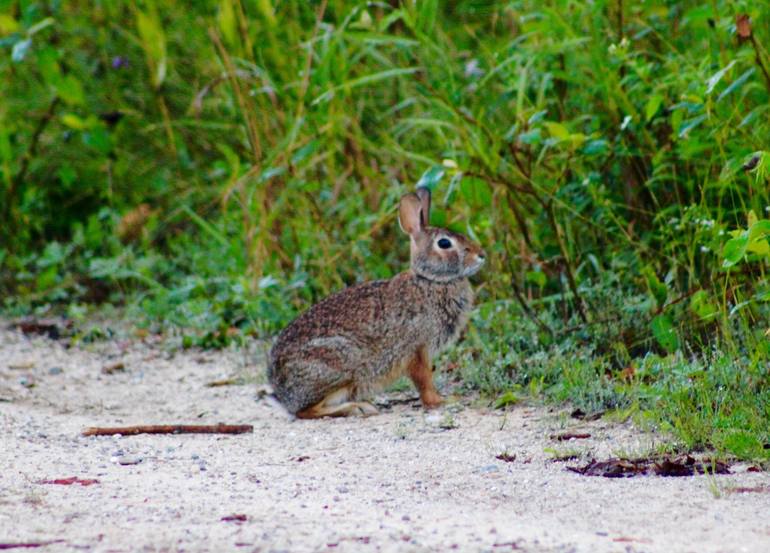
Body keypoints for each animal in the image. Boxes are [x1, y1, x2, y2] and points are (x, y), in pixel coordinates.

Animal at [268, 188, 484, 416]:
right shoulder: (416, 349)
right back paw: (358, 407)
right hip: (341, 364)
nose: (482, 255)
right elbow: (424, 380)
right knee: (307, 411)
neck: (431, 280)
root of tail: (282, 393)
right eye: (444, 243)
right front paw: (441, 401)